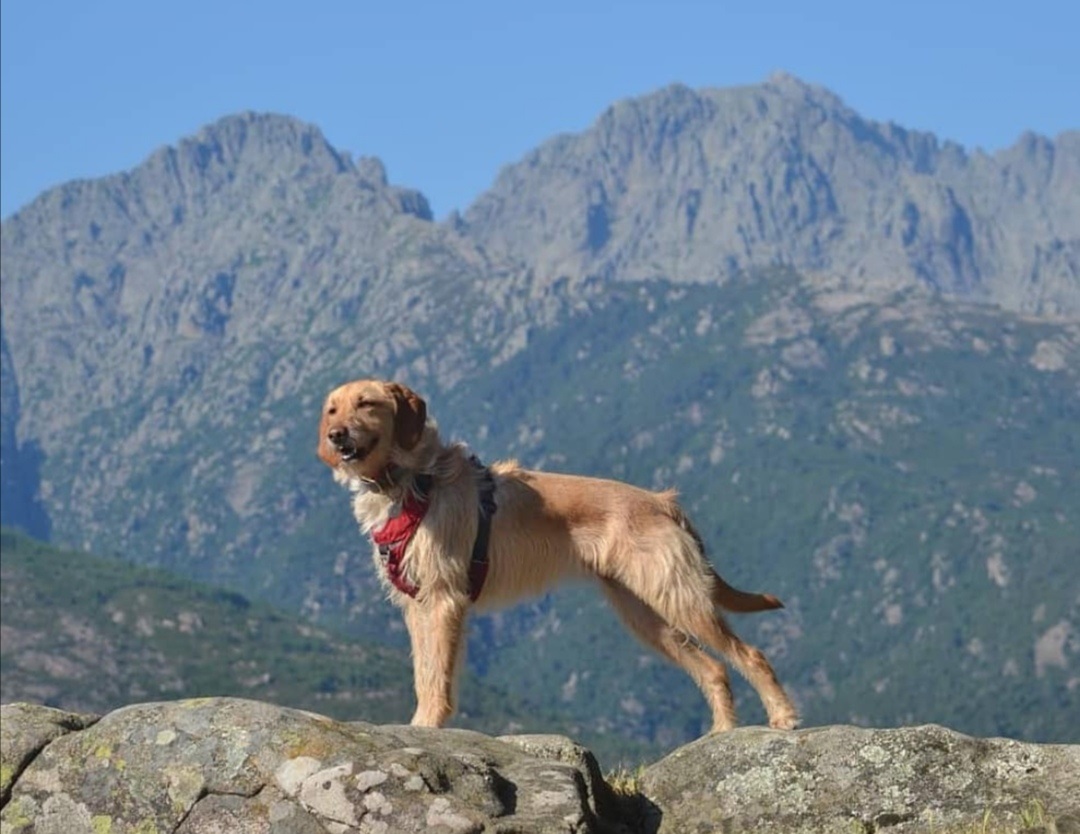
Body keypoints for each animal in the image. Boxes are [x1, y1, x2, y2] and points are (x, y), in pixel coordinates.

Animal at [315, 380, 799, 734]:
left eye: (367, 403)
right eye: (332, 409)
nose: (335, 436)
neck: (411, 479)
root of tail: (662, 502)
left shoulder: (442, 599)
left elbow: (437, 677)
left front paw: (428, 727)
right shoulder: (417, 606)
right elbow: (423, 672)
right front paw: (419, 725)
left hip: (679, 599)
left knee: (751, 654)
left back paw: (783, 717)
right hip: (647, 616)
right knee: (714, 668)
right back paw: (722, 734)